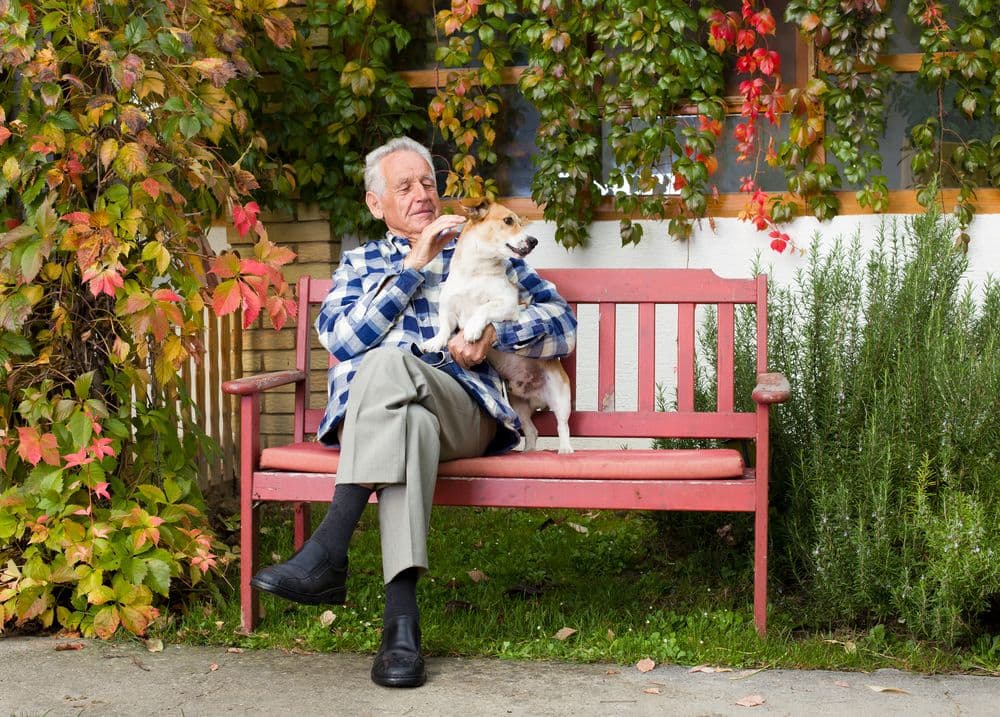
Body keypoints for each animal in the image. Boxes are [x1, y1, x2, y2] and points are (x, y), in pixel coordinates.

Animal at [420, 199, 576, 454]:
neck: (476, 273)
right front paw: (435, 342)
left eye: (519, 221)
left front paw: (473, 330)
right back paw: (528, 452)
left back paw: (564, 448)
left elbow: (484, 309)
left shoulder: (509, 305)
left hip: (560, 397)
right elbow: (444, 327)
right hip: (518, 405)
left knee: (562, 425)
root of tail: (536, 396)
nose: (534, 241)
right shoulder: (449, 309)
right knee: (532, 431)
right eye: (508, 221)